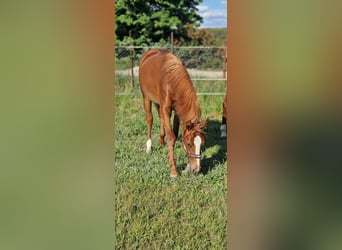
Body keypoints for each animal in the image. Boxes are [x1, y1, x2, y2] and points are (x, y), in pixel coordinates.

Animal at [138, 49, 207, 178]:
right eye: (189, 144)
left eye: (202, 144)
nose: (196, 170)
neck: (172, 80)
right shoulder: (166, 108)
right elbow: (171, 137)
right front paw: (174, 172)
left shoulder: (177, 112)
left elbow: (175, 133)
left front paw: (187, 167)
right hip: (146, 97)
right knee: (150, 119)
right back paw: (149, 147)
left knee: (160, 118)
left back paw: (161, 142)